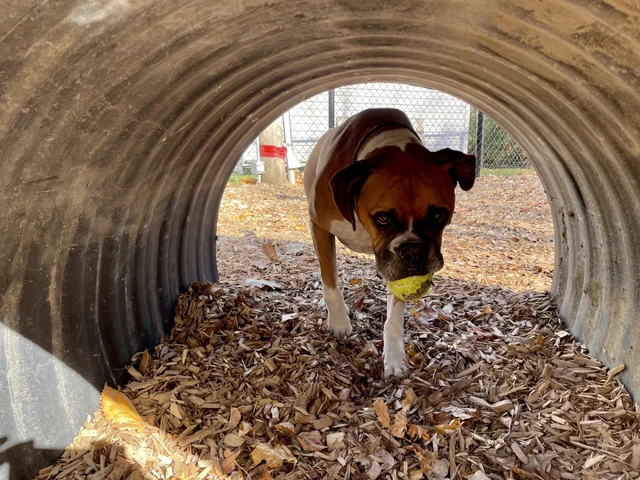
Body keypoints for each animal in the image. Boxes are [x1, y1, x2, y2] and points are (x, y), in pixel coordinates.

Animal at [304, 109, 476, 378]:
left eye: (439, 215)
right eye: (383, 218)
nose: (414, 252)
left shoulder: (397, 270)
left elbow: (394, 316)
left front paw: (394, 356)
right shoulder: (319, 227)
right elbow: (330, 281)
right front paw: (340, 322)